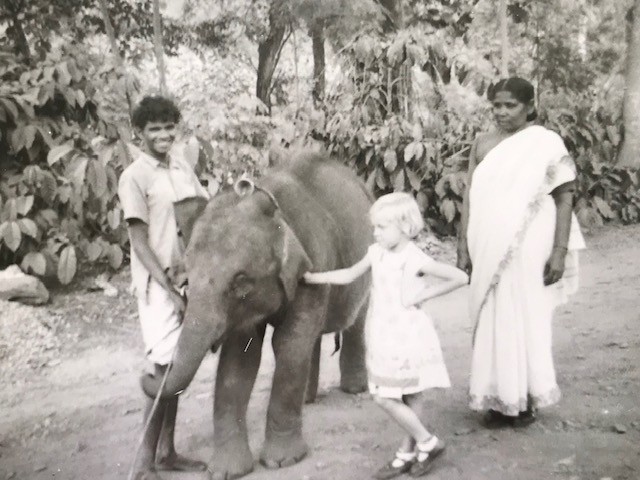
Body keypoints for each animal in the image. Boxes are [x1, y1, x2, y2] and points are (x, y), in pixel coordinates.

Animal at [141, 150, 372, 479]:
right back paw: (308, 400)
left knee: (356, 319)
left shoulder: (314, 265)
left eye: (240, 280)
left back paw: (354, 389)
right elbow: (240, 359)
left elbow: (289, 344)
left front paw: (282, 461)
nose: (151, 371)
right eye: (187, 278)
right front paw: (226, 471)